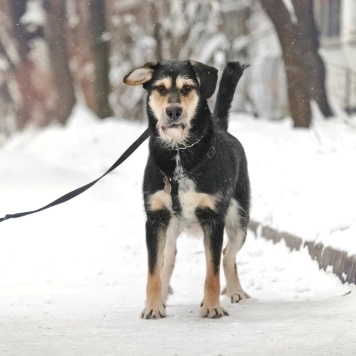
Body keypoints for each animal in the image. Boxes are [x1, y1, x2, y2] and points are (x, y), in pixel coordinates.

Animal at [123, 59, 250, 318]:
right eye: (160, 88)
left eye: (188, 87)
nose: (173, 111)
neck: (179, 153)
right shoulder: (155, 219)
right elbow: (153, 270)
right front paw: (152, 307)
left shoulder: (213, 219)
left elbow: (212, 271)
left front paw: (212, 307)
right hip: (172, 227)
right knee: (168, 258)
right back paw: (162, 297)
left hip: (239, 221)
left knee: (227, 254)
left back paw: (235, 291)